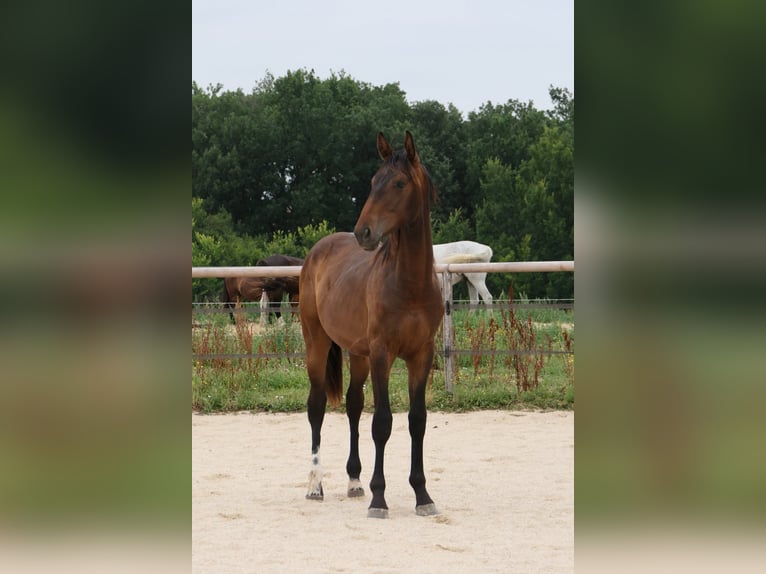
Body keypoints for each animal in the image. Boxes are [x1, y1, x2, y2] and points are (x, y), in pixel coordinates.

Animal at [299, 131, 443, 518]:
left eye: (399, 183)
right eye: (372, 181)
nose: (363, 232)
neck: (409, 284)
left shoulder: (421, 354)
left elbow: (417, 420)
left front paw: (422, 495)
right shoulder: (383, 353)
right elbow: (382, 422)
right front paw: (380, 499)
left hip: (358, 353)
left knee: (352, 404)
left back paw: (353, 481)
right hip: (317, 343)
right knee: (317, 406)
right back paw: (315, 486)